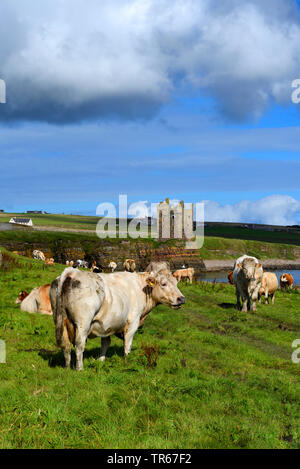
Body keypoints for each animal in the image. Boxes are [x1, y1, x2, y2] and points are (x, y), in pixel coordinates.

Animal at [49, 266, 185, 370]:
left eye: (176, 283)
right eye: (163, 284)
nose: (182, 299)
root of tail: (71, 271)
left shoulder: (105, 324)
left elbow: (105, 343)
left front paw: (101, 360)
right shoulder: (133, 322)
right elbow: (127, 344)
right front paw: (126, 362)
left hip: (59, 320)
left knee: (65, 346)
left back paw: (67, 367)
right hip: (83, 323)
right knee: (79, 345)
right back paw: (80, 369)